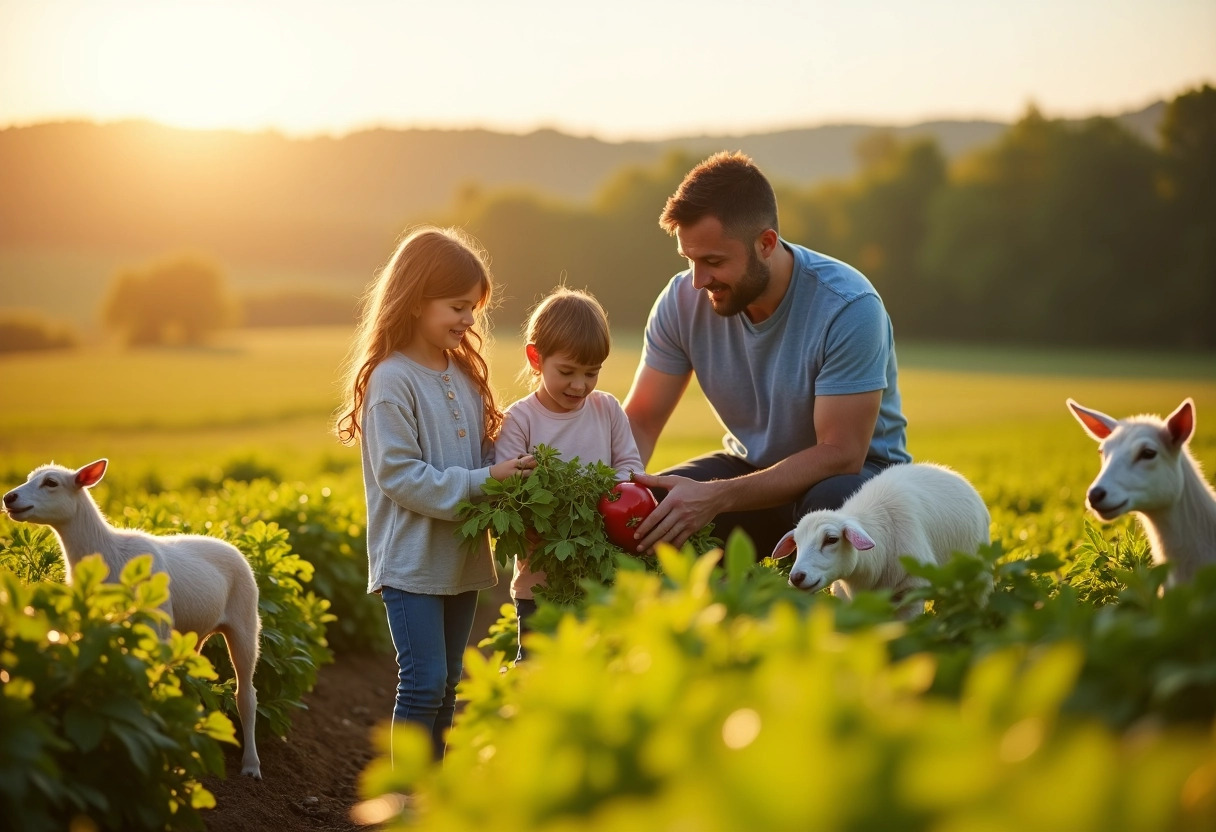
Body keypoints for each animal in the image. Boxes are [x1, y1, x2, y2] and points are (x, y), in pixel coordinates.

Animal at [4, 457, 262, 778]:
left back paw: (251, 765)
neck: (106, 552)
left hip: (245, 620)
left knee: (246, 695)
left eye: (51, 483)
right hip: (192, 633)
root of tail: (235, 547)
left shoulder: (156, 624)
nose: (8, 498)